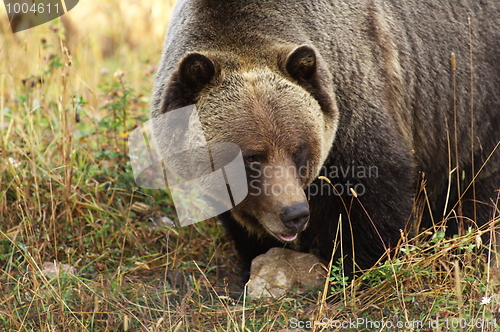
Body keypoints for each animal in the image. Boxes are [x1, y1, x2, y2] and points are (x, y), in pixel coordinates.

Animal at [151, 0, 500, 274]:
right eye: (250, 157)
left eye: (298, 150)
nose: (294, 214)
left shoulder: (354, 97)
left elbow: (370, 197)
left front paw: (353, 266)